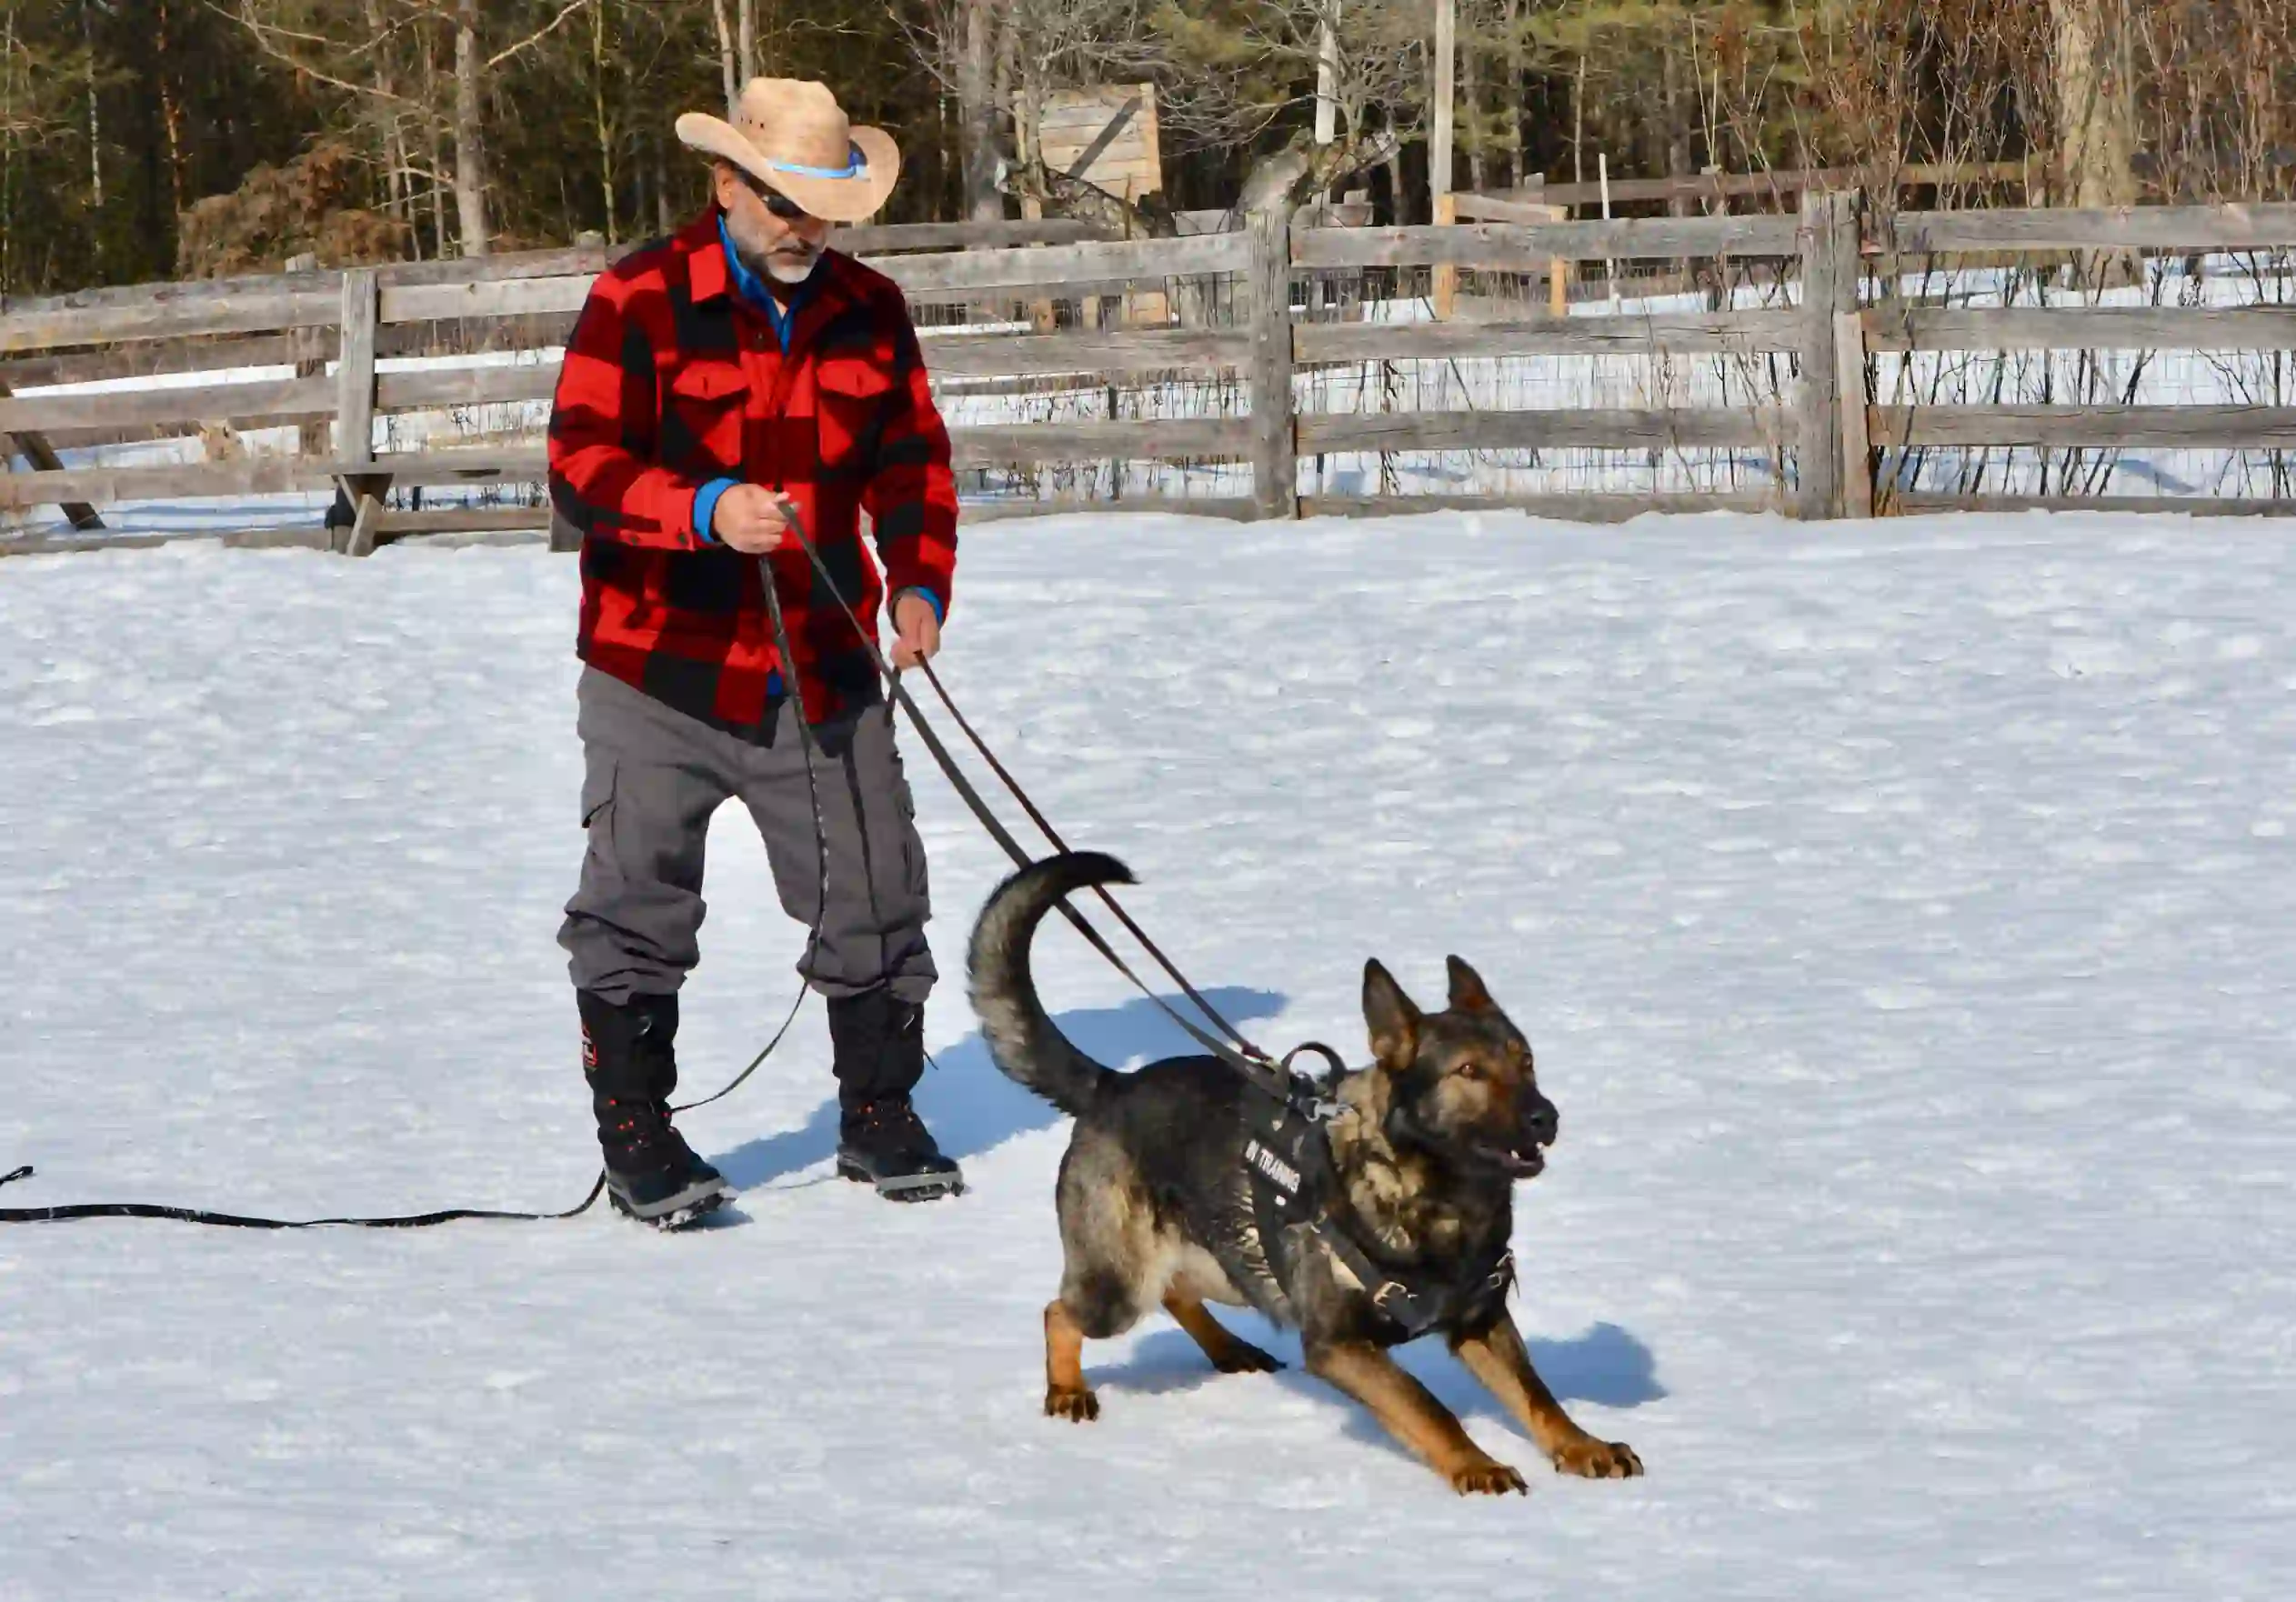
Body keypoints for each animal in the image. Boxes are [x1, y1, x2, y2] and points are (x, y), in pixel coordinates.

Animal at [959, 854, 1643, 1487]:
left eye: (1525, 1062)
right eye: (1469, 1072)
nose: (1545, 1118)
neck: (1433, 1198)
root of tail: (1112, 1085)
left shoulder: (1482, 1322)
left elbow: (1538, 1397)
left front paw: (1582, 1447)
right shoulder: (1340, 1346)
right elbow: (1429, 1407)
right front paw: (1475, 1464)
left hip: (1228, 1264)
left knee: (1177, 1290)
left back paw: (1228, 1349)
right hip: (1119, 1288)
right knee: (1060, 1311)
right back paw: (1067, 1389)